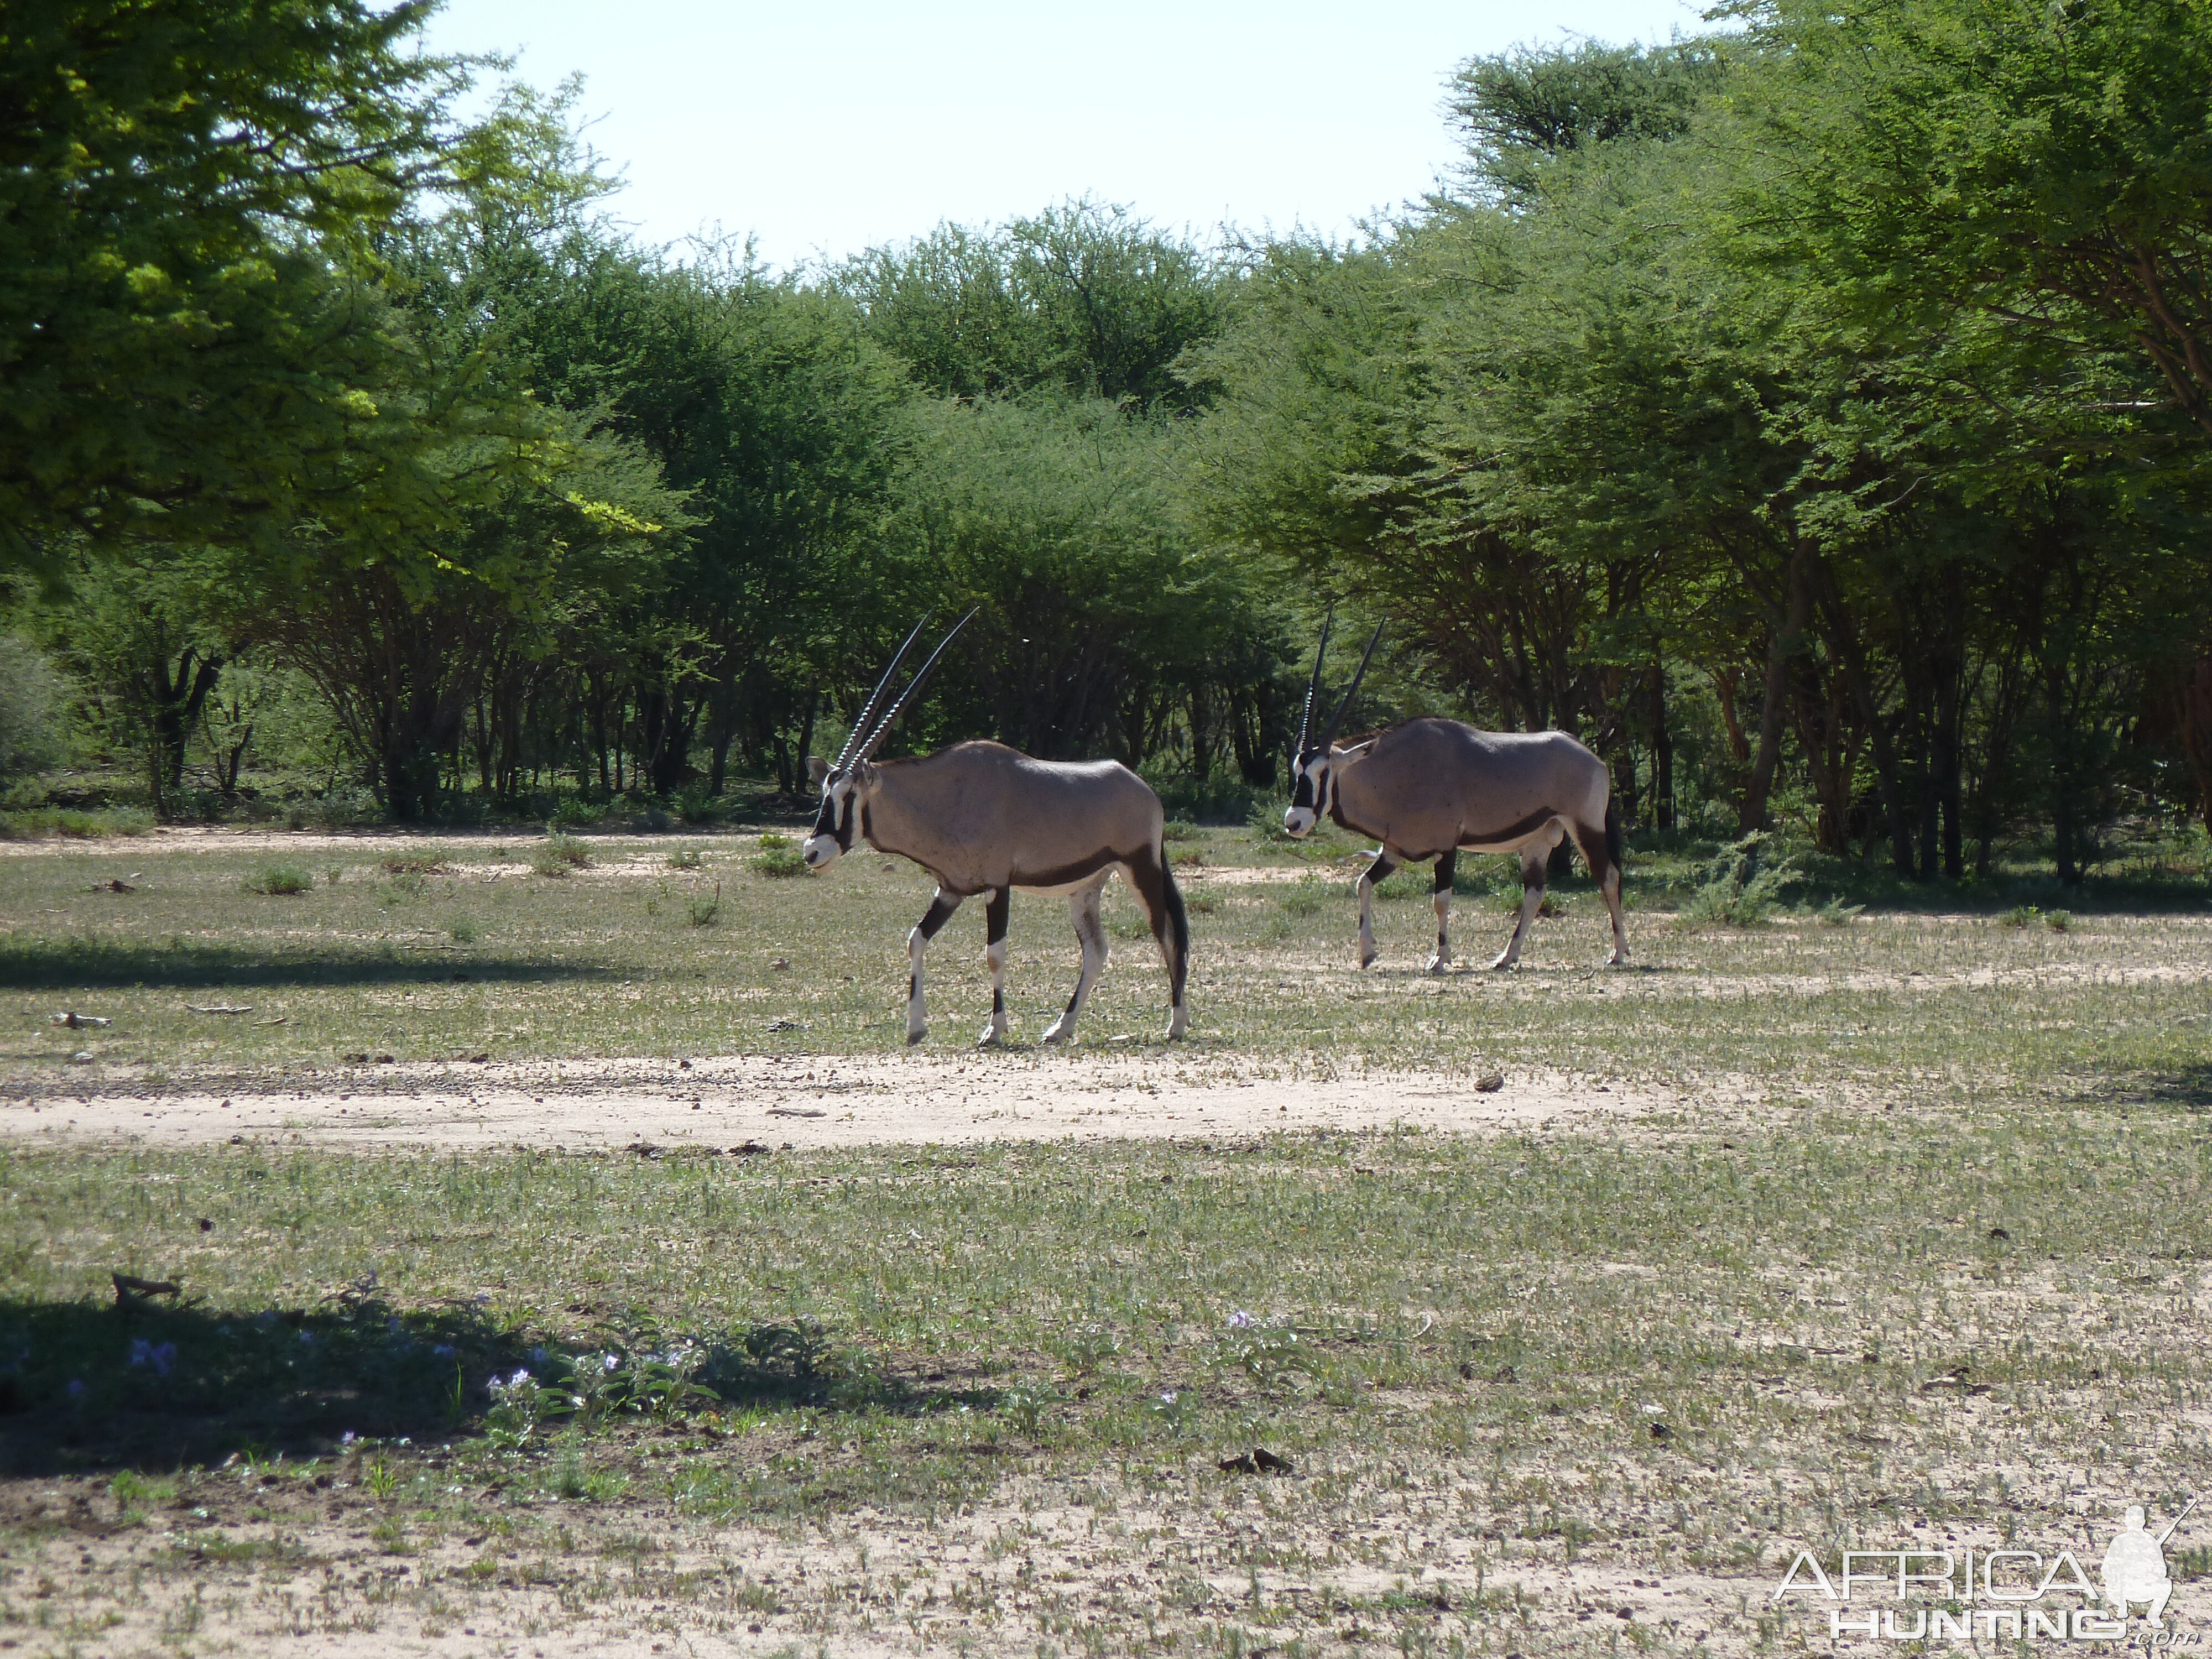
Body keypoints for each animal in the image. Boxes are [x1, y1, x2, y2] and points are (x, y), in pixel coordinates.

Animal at [801, 619, 1186, 1044]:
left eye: (849, 795)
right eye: (824, 792)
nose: (812, 851)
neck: (949, 795)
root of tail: (1142, 787)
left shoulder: (997, 885)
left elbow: (994, 954)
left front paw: (994, 1030)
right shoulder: (951, 889)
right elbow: (916, 940)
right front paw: (917, 1027)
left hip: (1140, 868)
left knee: (1167, 933)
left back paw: (1176, 1024)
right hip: (1086, 887)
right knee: (1096, 950)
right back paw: (1060, 1029)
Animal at [1283, 628, 1628, 982]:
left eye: (1324, 772)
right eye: (1297, 770)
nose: (1294, 822)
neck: (1397, 770)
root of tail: (1593, 758)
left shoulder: (1446, 846)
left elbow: (1441, 901)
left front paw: (1439, 959)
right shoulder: (1395, 849)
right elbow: (1362, 884)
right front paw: (1367, 954)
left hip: (1585, 826)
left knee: (1608, 877)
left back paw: (1618, 954)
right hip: (1539, 840)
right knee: (1536, 892)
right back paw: (1506, 957)